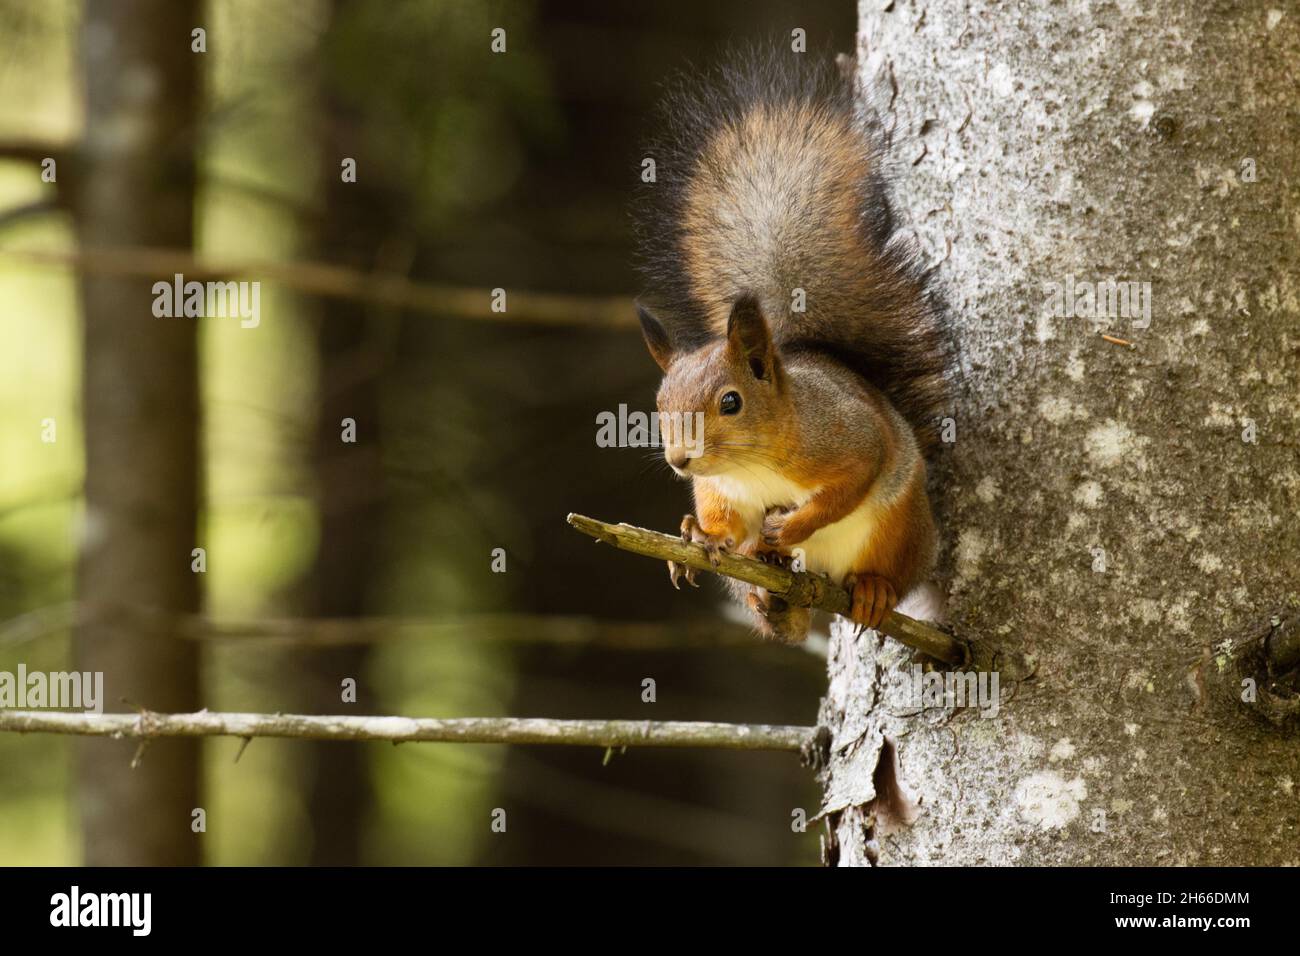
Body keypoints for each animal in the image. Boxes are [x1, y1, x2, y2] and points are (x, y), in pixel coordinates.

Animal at [632, 44, 955, 644]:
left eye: (730, 402)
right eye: (660, 406)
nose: (681, 460)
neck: (752, 463)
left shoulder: (847, 436)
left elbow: (850, 481)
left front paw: (792, 524)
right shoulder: (718, 489)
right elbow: (721, 520)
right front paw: (701, 535)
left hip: (901, 529)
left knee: (894, 572)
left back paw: (871, 588)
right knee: (784, 612)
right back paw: (773, 599)